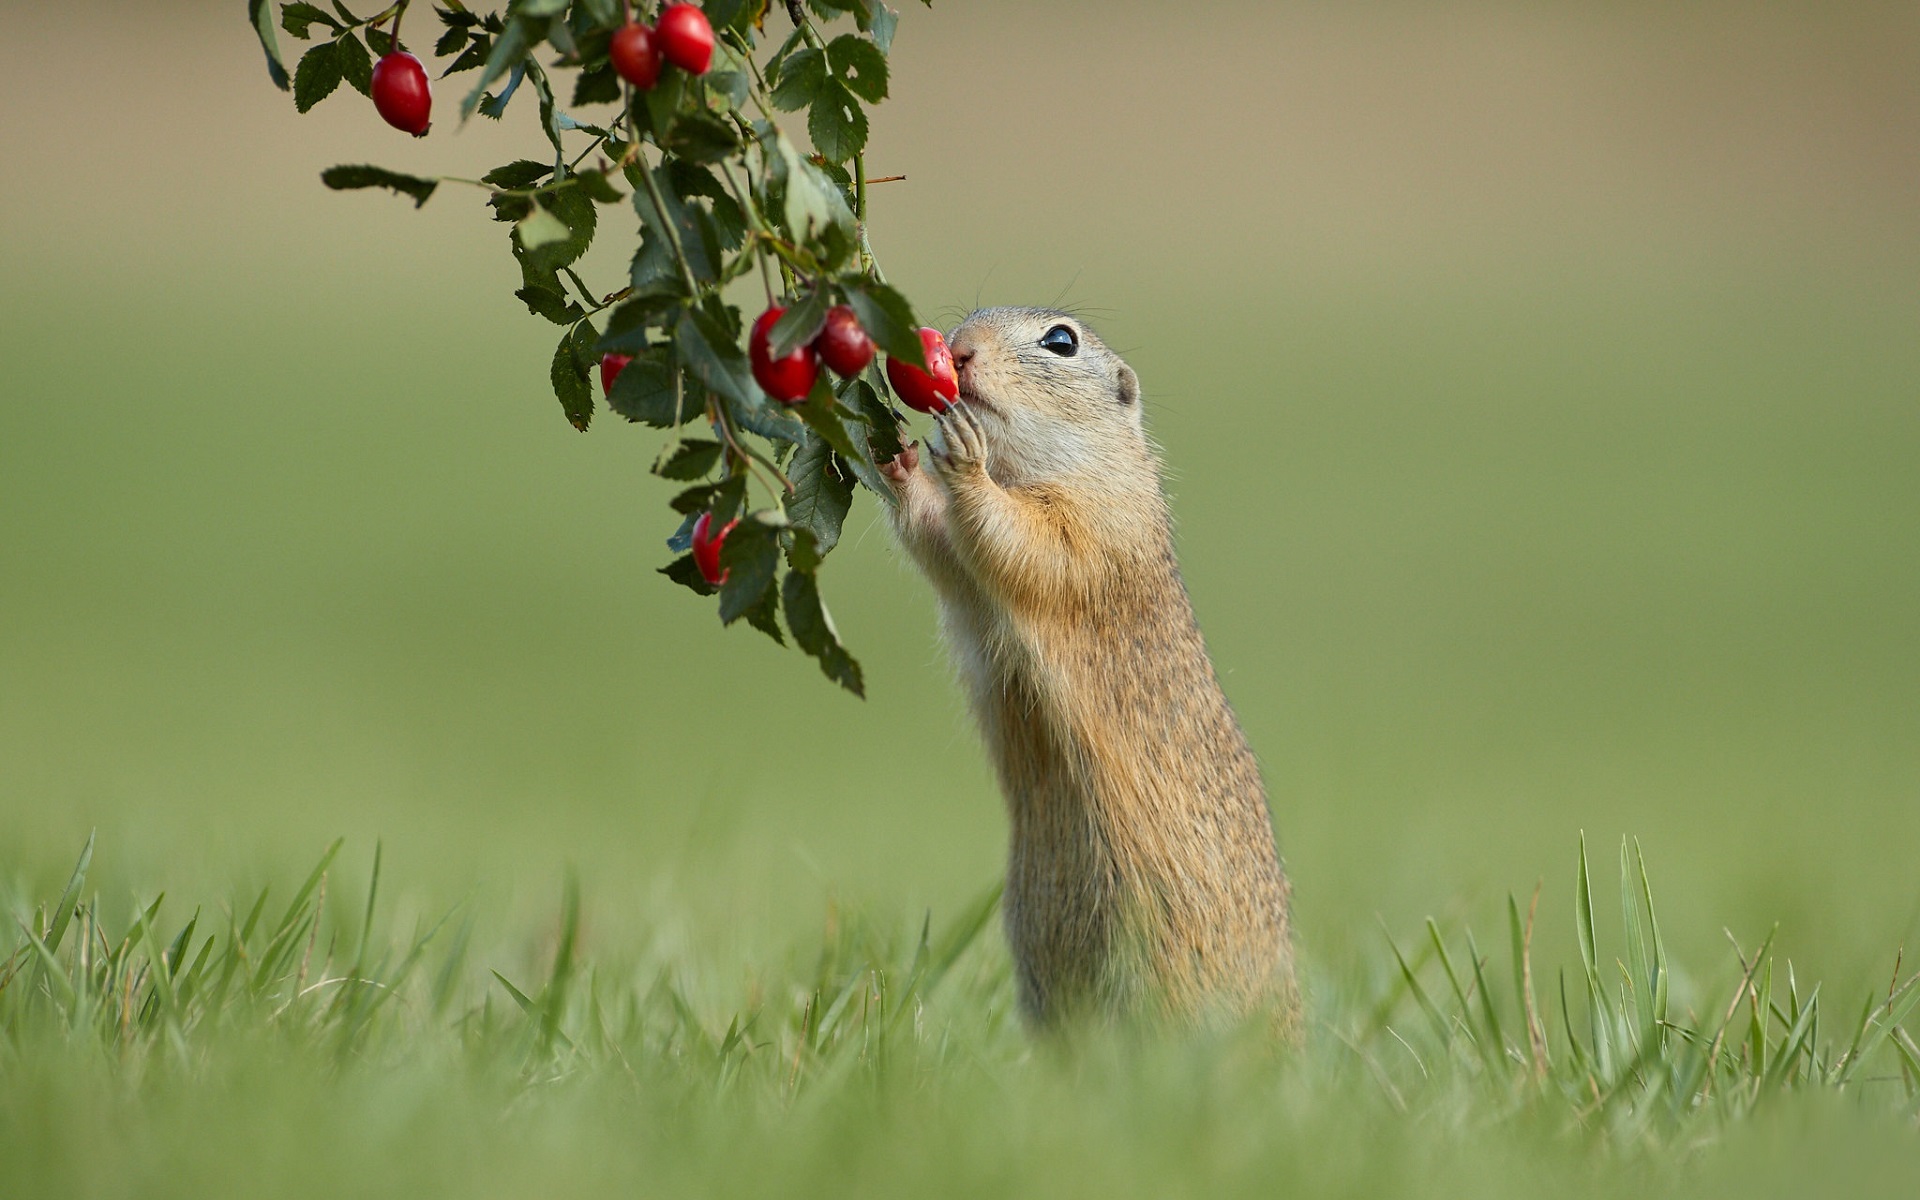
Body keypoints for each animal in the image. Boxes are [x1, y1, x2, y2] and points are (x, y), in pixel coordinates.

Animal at [883, 309, 1305, 1029]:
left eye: (1061, 341)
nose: (958, 352)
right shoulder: (968, 578)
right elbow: (941, 542)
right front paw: (902, 463)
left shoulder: (1095, 527)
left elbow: (1023, 541)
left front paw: (964, 460)